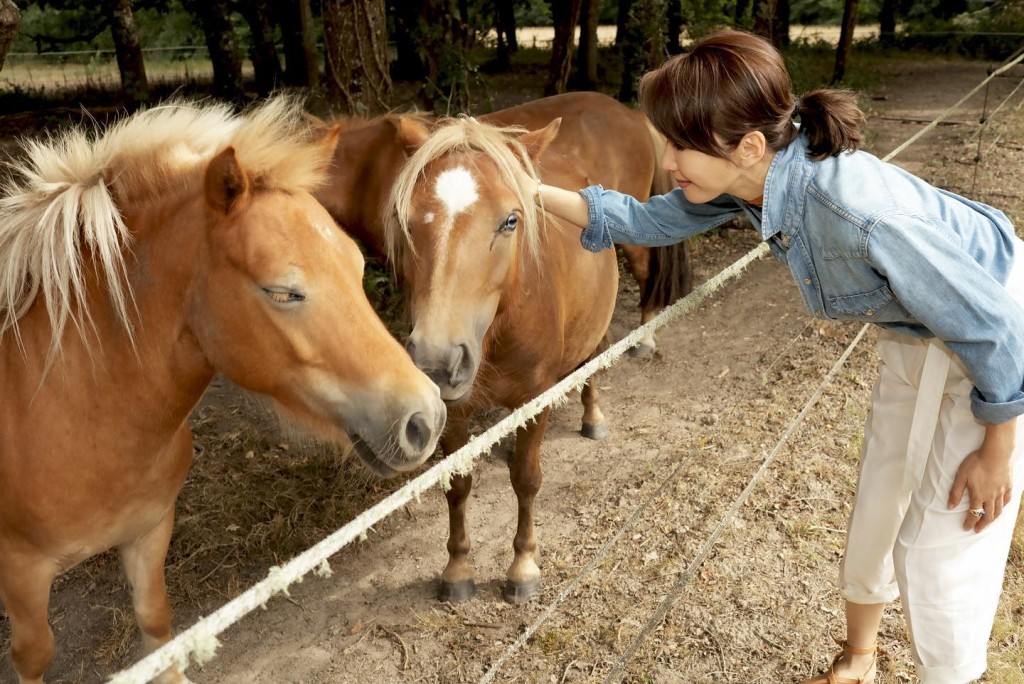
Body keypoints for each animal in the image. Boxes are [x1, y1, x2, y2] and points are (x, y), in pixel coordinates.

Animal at [0, 97, 444, 684]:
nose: (425, 418)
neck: (73, 409)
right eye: (282, 291)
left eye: (355, 265)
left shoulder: (148, 532)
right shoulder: (21, 572)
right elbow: (34, 655)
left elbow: (156, 623)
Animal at [382, 117, 614, 602]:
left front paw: (523, 566)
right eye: (405, 221)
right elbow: (457, 485)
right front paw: (457, 568)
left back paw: (593, 416)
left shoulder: (536, 399)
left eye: (510, 220)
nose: (436, 362)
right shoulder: (453, 412)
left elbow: (526, 479)